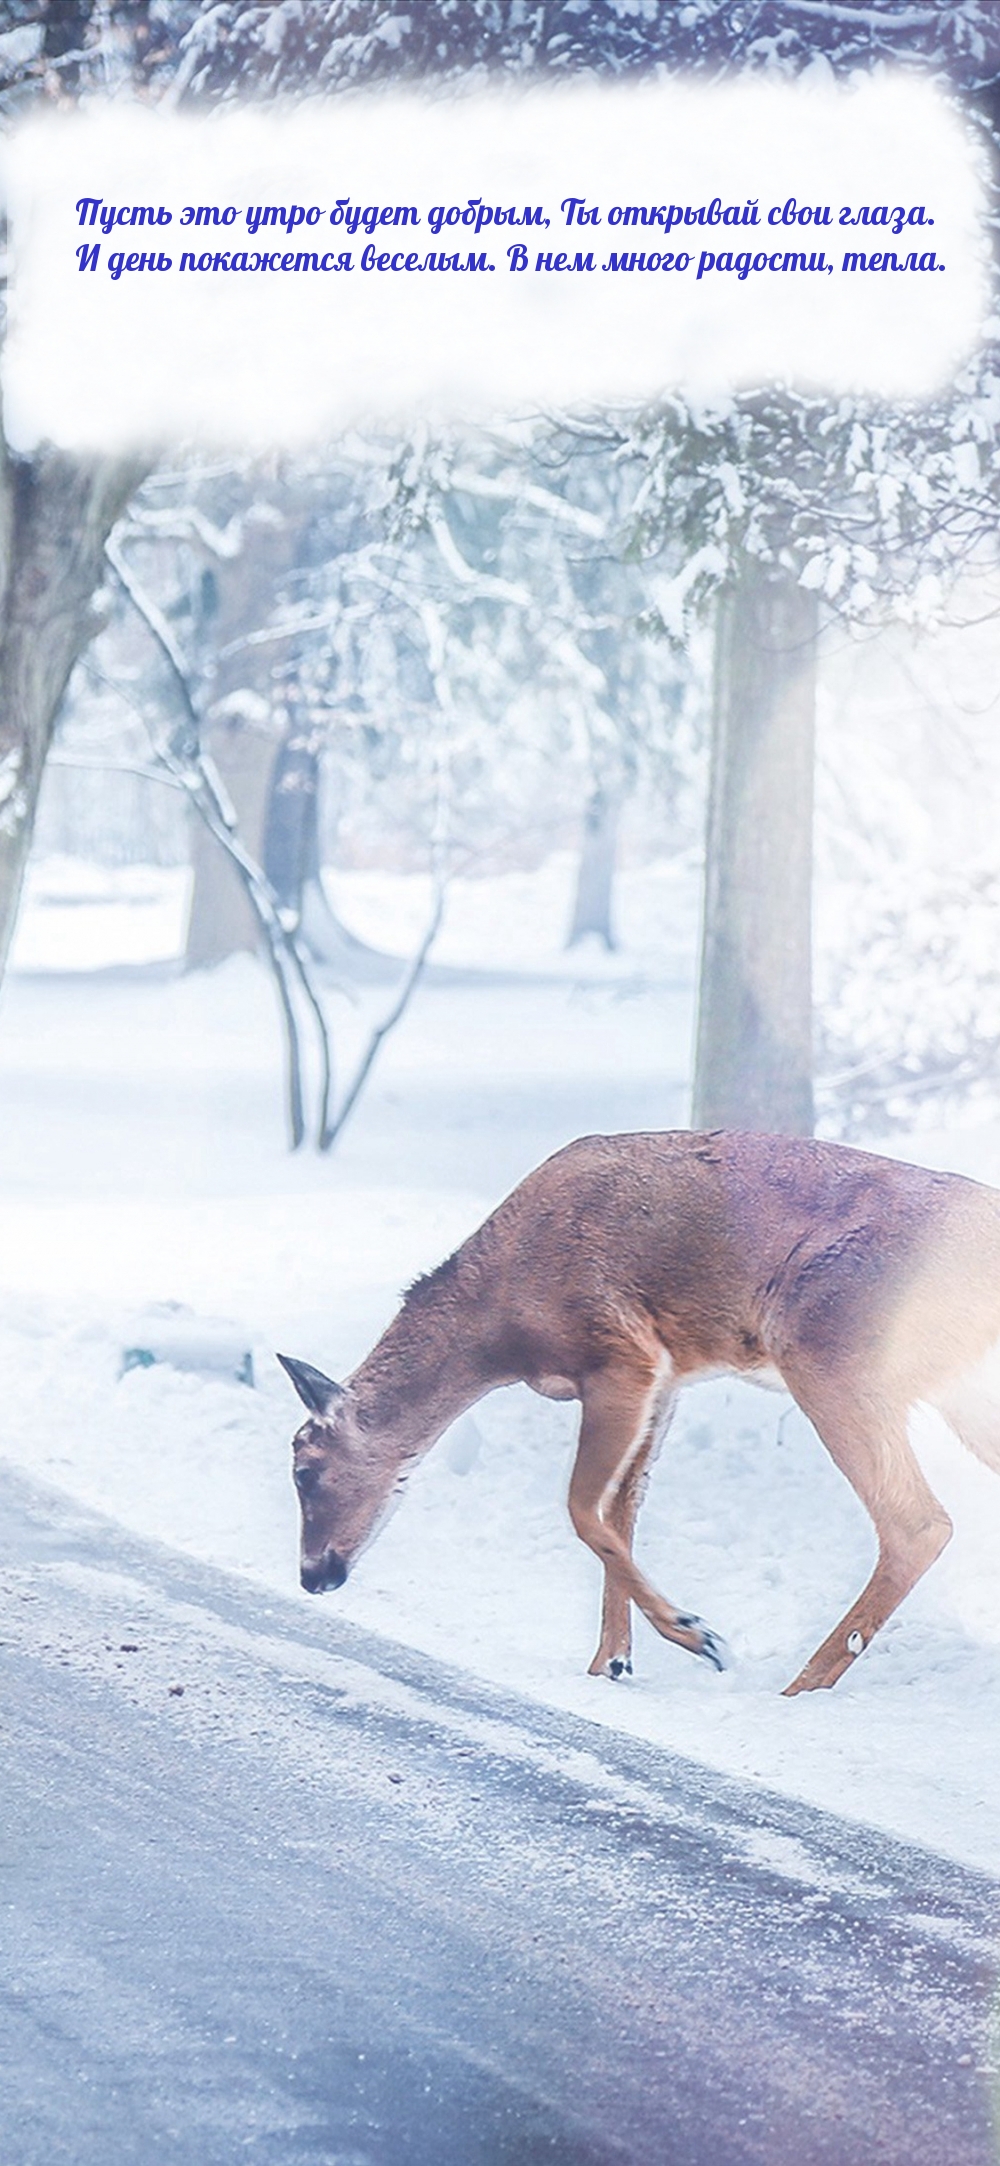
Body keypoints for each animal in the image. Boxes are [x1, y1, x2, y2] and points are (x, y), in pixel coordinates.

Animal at [273, 1126, 1000, 1698]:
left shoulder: (622, 1356)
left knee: (918, 1523)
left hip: (832, 1348)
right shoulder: (668, 1379)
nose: (311, 1576)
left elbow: (581, 1509)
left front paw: (697, 1635)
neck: (498, 1326)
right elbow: (621, 1513)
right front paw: (611, 1662)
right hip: (953, 1387)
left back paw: (799, 1685)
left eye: (305, 1469)